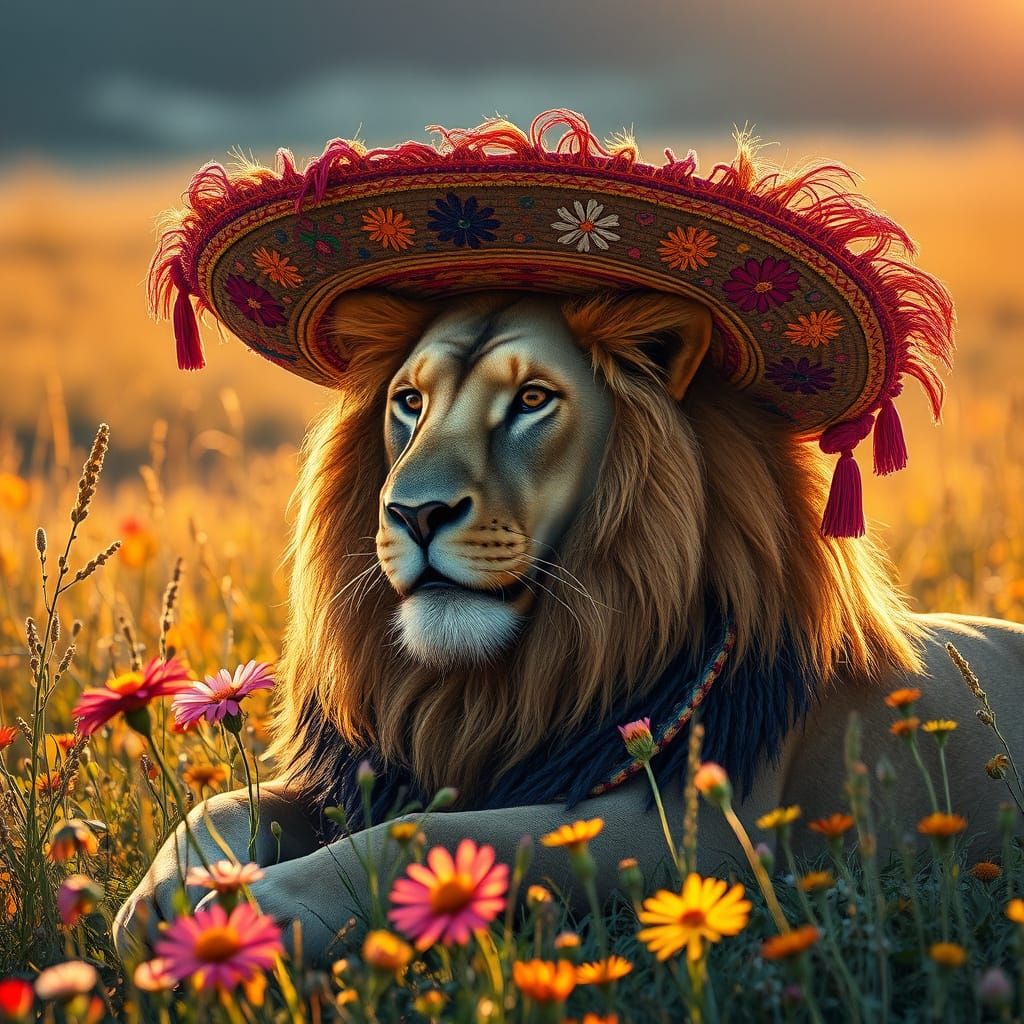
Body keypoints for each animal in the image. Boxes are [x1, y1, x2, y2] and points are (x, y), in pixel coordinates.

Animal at [114, 287, 1024, 961]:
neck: (500, 684)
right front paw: (162, 899)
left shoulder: (691, 834)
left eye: (532, 401)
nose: (413, 513)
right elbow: (224, 803)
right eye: (408, 403)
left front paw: (260, 910)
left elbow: (423, 833)